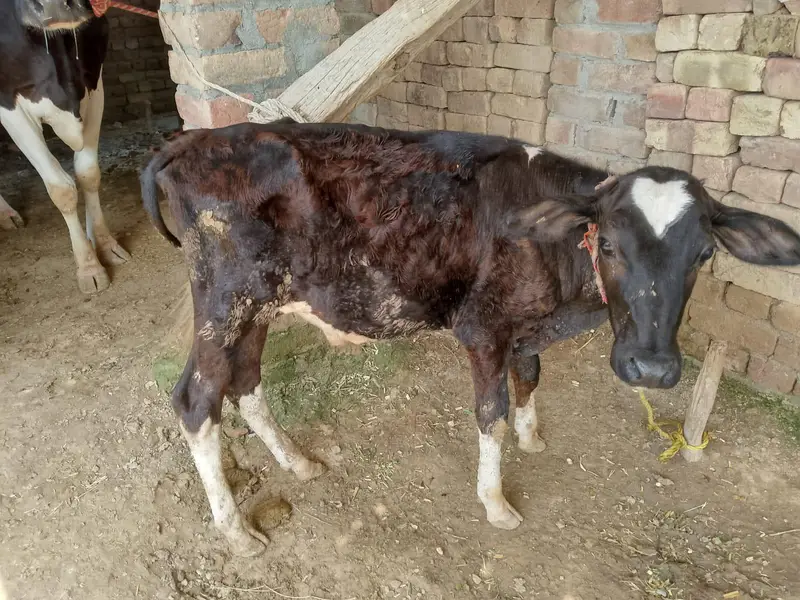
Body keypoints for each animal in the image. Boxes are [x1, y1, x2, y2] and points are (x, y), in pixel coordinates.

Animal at [0, 0, 129, 292]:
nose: (55, 6)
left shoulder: (94, 82)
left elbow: (88, 174)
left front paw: (103, 242)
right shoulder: (8, 104)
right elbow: (61, 189)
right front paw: (88, 265)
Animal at [141, 122, 800, 556]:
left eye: (705, 253)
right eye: (609, 243)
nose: (651, 369)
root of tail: (187, 142)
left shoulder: (525, 330)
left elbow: (530, 376)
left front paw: (533, 438)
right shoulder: (482, 328)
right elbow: (492, 413)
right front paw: (497, 501)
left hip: (260, 303)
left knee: (247, 382)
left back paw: (298, 462)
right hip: (225, 299)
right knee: (196, 400)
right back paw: (236, 530)